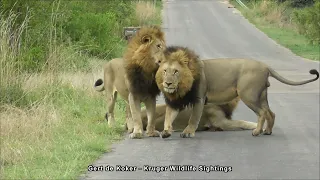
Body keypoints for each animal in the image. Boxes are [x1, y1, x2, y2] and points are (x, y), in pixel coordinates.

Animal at [156, 45, 318, 139]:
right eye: (165, 71)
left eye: (176, 71)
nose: (167, 83)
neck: (181, 86)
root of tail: (266, 66)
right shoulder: (174, 101)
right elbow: (169, 117)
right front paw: (166, 131)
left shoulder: (199, 98)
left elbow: (193, 118)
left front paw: (188, 132)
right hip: (261, 95)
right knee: (270, 113)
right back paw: (267, 131)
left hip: (248, 94)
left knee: (262, 113)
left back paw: (257, 132)